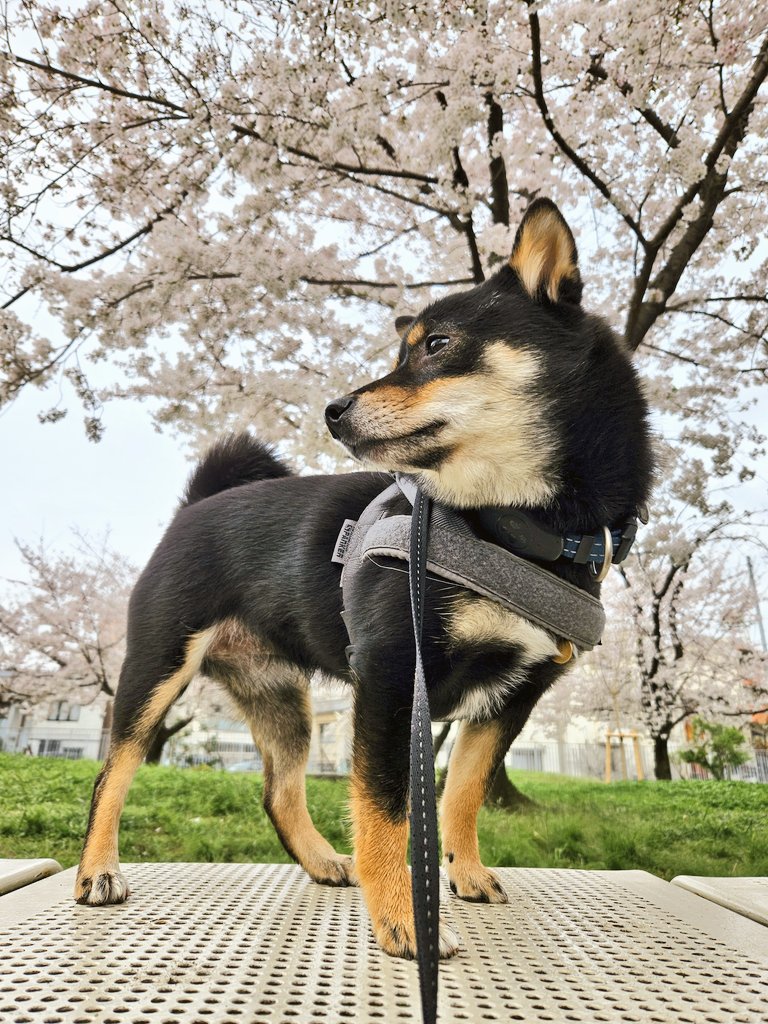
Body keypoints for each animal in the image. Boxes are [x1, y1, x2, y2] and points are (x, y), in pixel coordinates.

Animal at [75, 197, 651, 958]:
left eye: (436, 345)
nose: (333, 409)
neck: (515, 526)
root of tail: (196, 505)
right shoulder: (389, 676)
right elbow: (388, 813)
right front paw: (405, 920)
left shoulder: (511, 697)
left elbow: (461, 793)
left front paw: (465, 871)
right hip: (158, 666)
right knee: (113, 770)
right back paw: (97, 870)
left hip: (280, 700)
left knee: (278, 792)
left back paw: (322, 860)